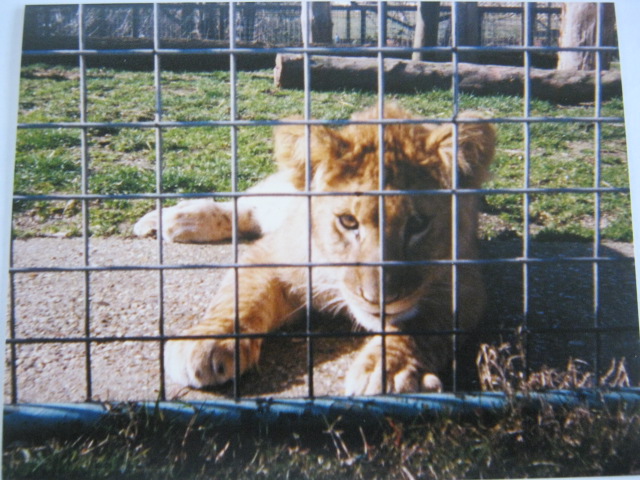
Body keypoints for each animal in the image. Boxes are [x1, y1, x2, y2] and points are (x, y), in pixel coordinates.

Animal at [134, 105, 495, 394]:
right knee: (244, 206)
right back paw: (169, 220)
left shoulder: (466, 284)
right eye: (348, 221)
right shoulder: (271, 254)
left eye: (418, 224)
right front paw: (207, 343)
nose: (378, 300)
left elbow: (422, 325)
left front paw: (390, 370)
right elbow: (240, 299)